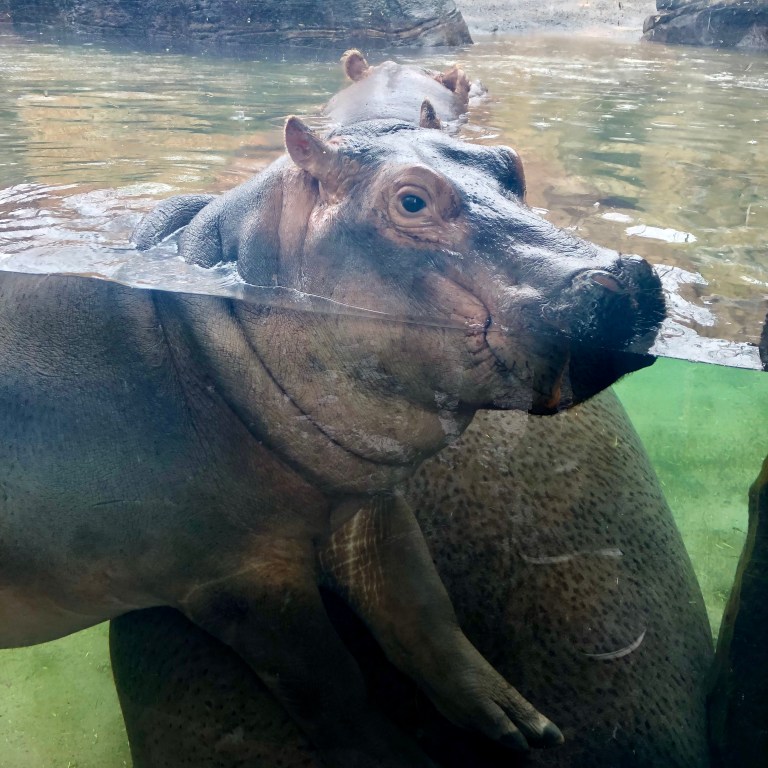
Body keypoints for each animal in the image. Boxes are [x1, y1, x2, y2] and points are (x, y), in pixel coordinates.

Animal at [0, 50, 664, 768]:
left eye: (508, 162)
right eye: (410, 200)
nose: (628, 276)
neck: (206, 329)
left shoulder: (366, 501)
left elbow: (425, 615)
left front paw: (521, 724)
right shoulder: (242, 581)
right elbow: (332, 685)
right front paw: (400, 758)